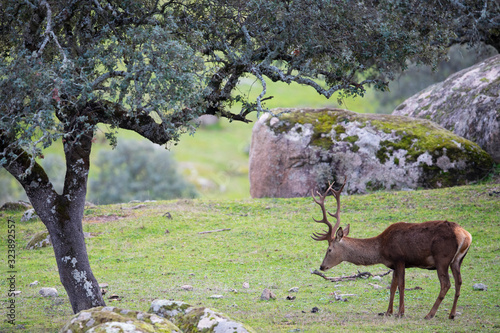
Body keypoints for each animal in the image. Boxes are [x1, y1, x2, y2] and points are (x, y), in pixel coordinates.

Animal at [312, 178, 472, 318]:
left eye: (329, 250)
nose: (321, 266)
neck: (382, 250)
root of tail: (465, 235)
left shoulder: (399, 258)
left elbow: (401, 285)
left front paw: (400, 312)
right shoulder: (393, 263)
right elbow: (392, 286)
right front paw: (388, 312)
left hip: (442, 258)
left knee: (446, 284)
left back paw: (430, 314)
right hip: (457, 260)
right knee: (459, 282)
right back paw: (451, 314)